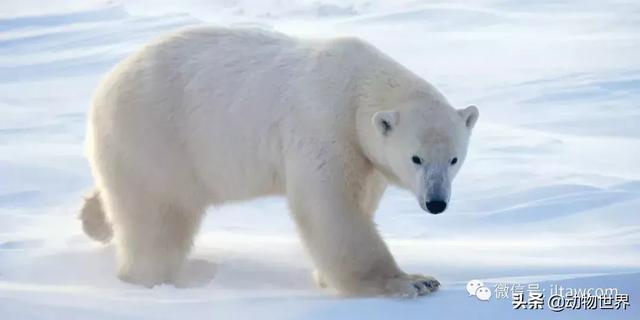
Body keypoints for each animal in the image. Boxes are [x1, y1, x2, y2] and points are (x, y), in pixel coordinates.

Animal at [80, 26, 478, 298]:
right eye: (416, 158)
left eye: (454, 159)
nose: (436, 202)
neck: (358, 88)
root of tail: (104, 85)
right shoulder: (323, 126)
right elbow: (329, 208)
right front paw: (413, 281)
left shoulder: (363, 153)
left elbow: (361, 198)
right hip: (156, 135)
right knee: (158, 217)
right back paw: (150, 278)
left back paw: (92, 218)